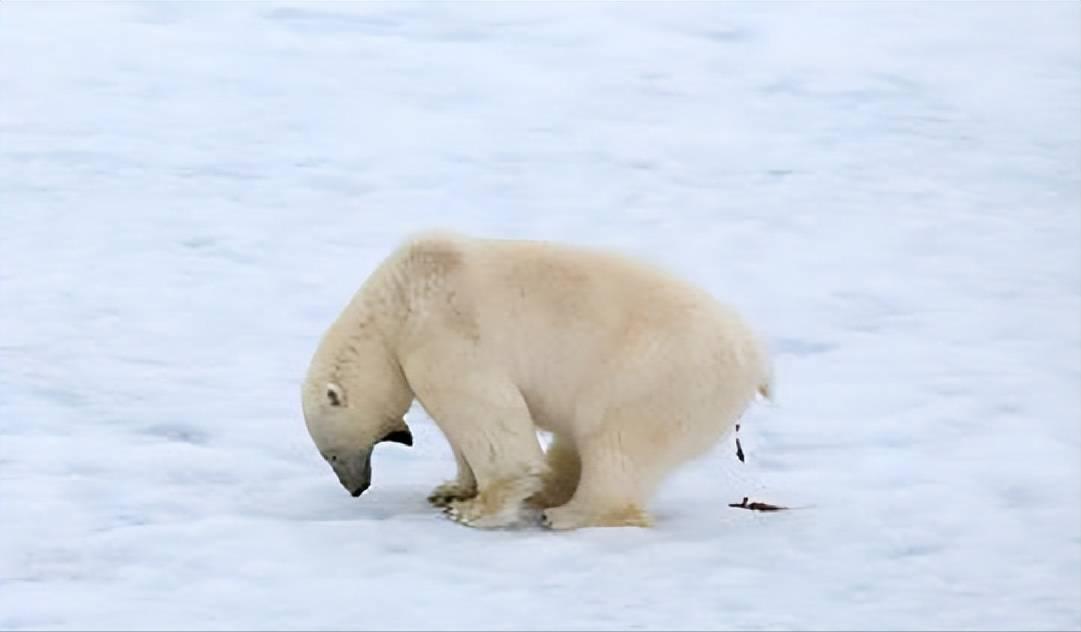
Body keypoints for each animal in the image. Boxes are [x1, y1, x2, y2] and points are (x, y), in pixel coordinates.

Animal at [304, 230, 773, 527]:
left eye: (330, 453)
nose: (356, 488)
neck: (397, 301)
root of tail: (755, 362)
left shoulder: (444, 334)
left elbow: (487, 418)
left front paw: (473, 510)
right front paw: (450, 490)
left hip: (657, 377)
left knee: (614, 444)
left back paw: (566, 513)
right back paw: (551, 493)